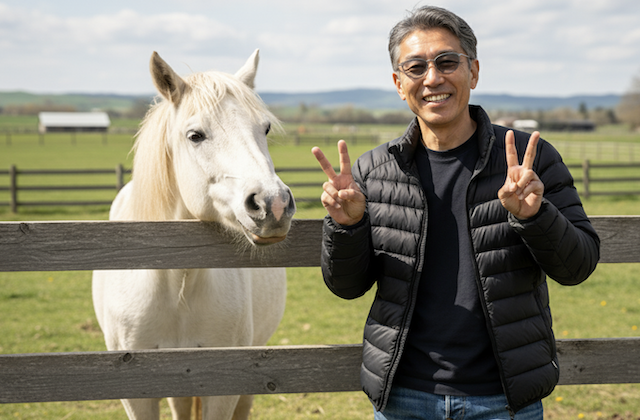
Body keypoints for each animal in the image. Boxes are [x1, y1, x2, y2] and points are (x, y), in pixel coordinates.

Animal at [92, 50, 296, 420]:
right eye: (195, 135)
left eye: (265, 128)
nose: (273, 204)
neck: (177, 285)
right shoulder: (135, 392)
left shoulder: (225, 386)